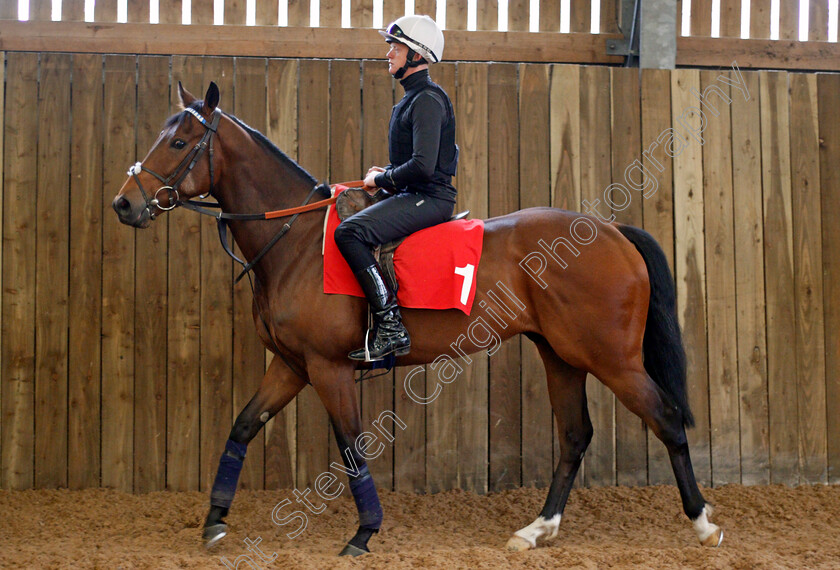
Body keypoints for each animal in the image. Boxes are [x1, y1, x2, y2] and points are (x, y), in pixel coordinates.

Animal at [110, 82, 720, 552]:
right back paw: (537, 530)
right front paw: (214, 521)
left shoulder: (328, 368)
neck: (297, 241)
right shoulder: (291, 365)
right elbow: (242, 426)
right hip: (561, 355)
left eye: (180, 142)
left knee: (666, 419)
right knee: (575, 436)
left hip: (610, 358)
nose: (124, 203)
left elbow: (351, 446)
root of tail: (613, 232)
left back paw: (703, 523)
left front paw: (364, 533)